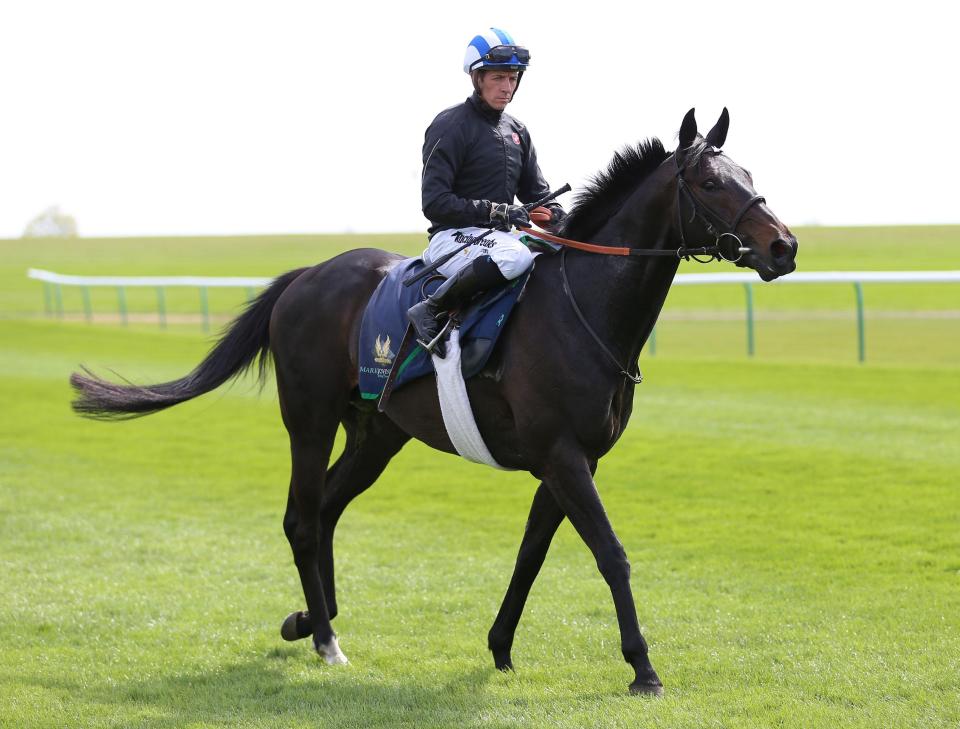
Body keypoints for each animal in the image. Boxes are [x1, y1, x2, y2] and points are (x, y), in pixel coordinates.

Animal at [71, 108, 800, 692]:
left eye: (746, 171)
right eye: (710, 183)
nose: (784, 245)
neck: (583, 308)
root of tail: (305, 276)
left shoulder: (571, 459)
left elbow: (531, 555)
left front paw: (501, 647)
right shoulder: (562, 455)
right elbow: (611, 552)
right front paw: (643, 666)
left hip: (376, 432)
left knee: (326, 510)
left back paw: (313, 618)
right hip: (309, 421)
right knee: (302, 518)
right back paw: (326, 639)